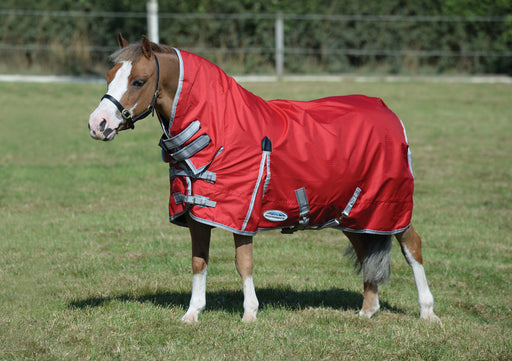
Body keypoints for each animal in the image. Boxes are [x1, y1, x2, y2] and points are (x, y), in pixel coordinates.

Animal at [88, 35, 440, 322]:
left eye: (139, 81)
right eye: (108, 77)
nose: (97, 124)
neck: (219, 130)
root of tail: (389, 113)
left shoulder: (242, 215)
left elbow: (243, 263)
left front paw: (249, 315)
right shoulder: (197, 214)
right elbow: (199, 262)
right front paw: (192, 314)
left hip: (390, 207)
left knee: (412, 246)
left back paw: (427, 312)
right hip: (351, 212)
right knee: (366, 250)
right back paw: (367, 311)